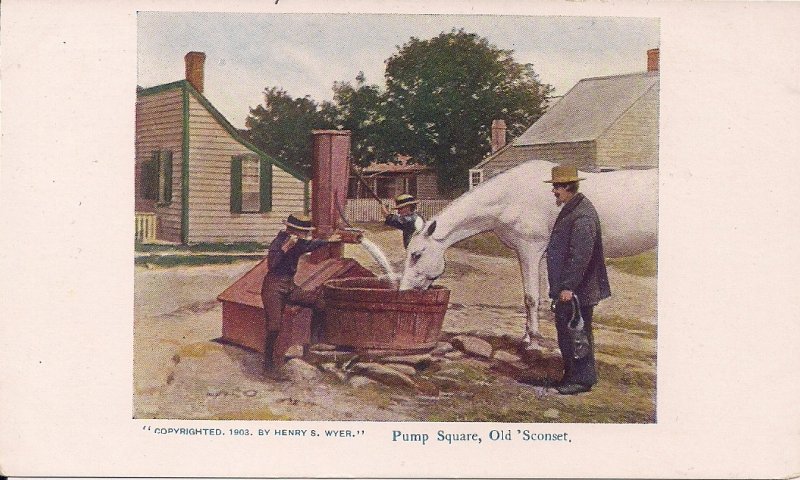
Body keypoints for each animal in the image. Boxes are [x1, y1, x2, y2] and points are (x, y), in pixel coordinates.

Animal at [398, 160, 656, 344]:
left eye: (417, 255)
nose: (403, 291)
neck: (510, 197)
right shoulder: (535, 254)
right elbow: (534, 296)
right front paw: (527, 335)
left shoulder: (529, 250)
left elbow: (531, 297)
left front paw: (533, 338)